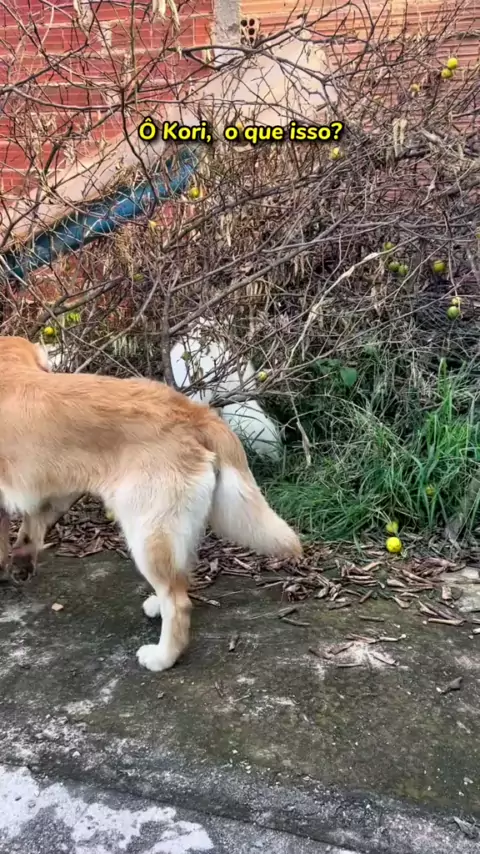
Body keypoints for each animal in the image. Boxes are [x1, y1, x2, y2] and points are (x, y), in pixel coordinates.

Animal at [0, 336, 302, 672]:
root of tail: (193, 411)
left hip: (146, 532)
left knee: (179, 602)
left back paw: (163, 656)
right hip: (170, 529)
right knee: (181, 575)